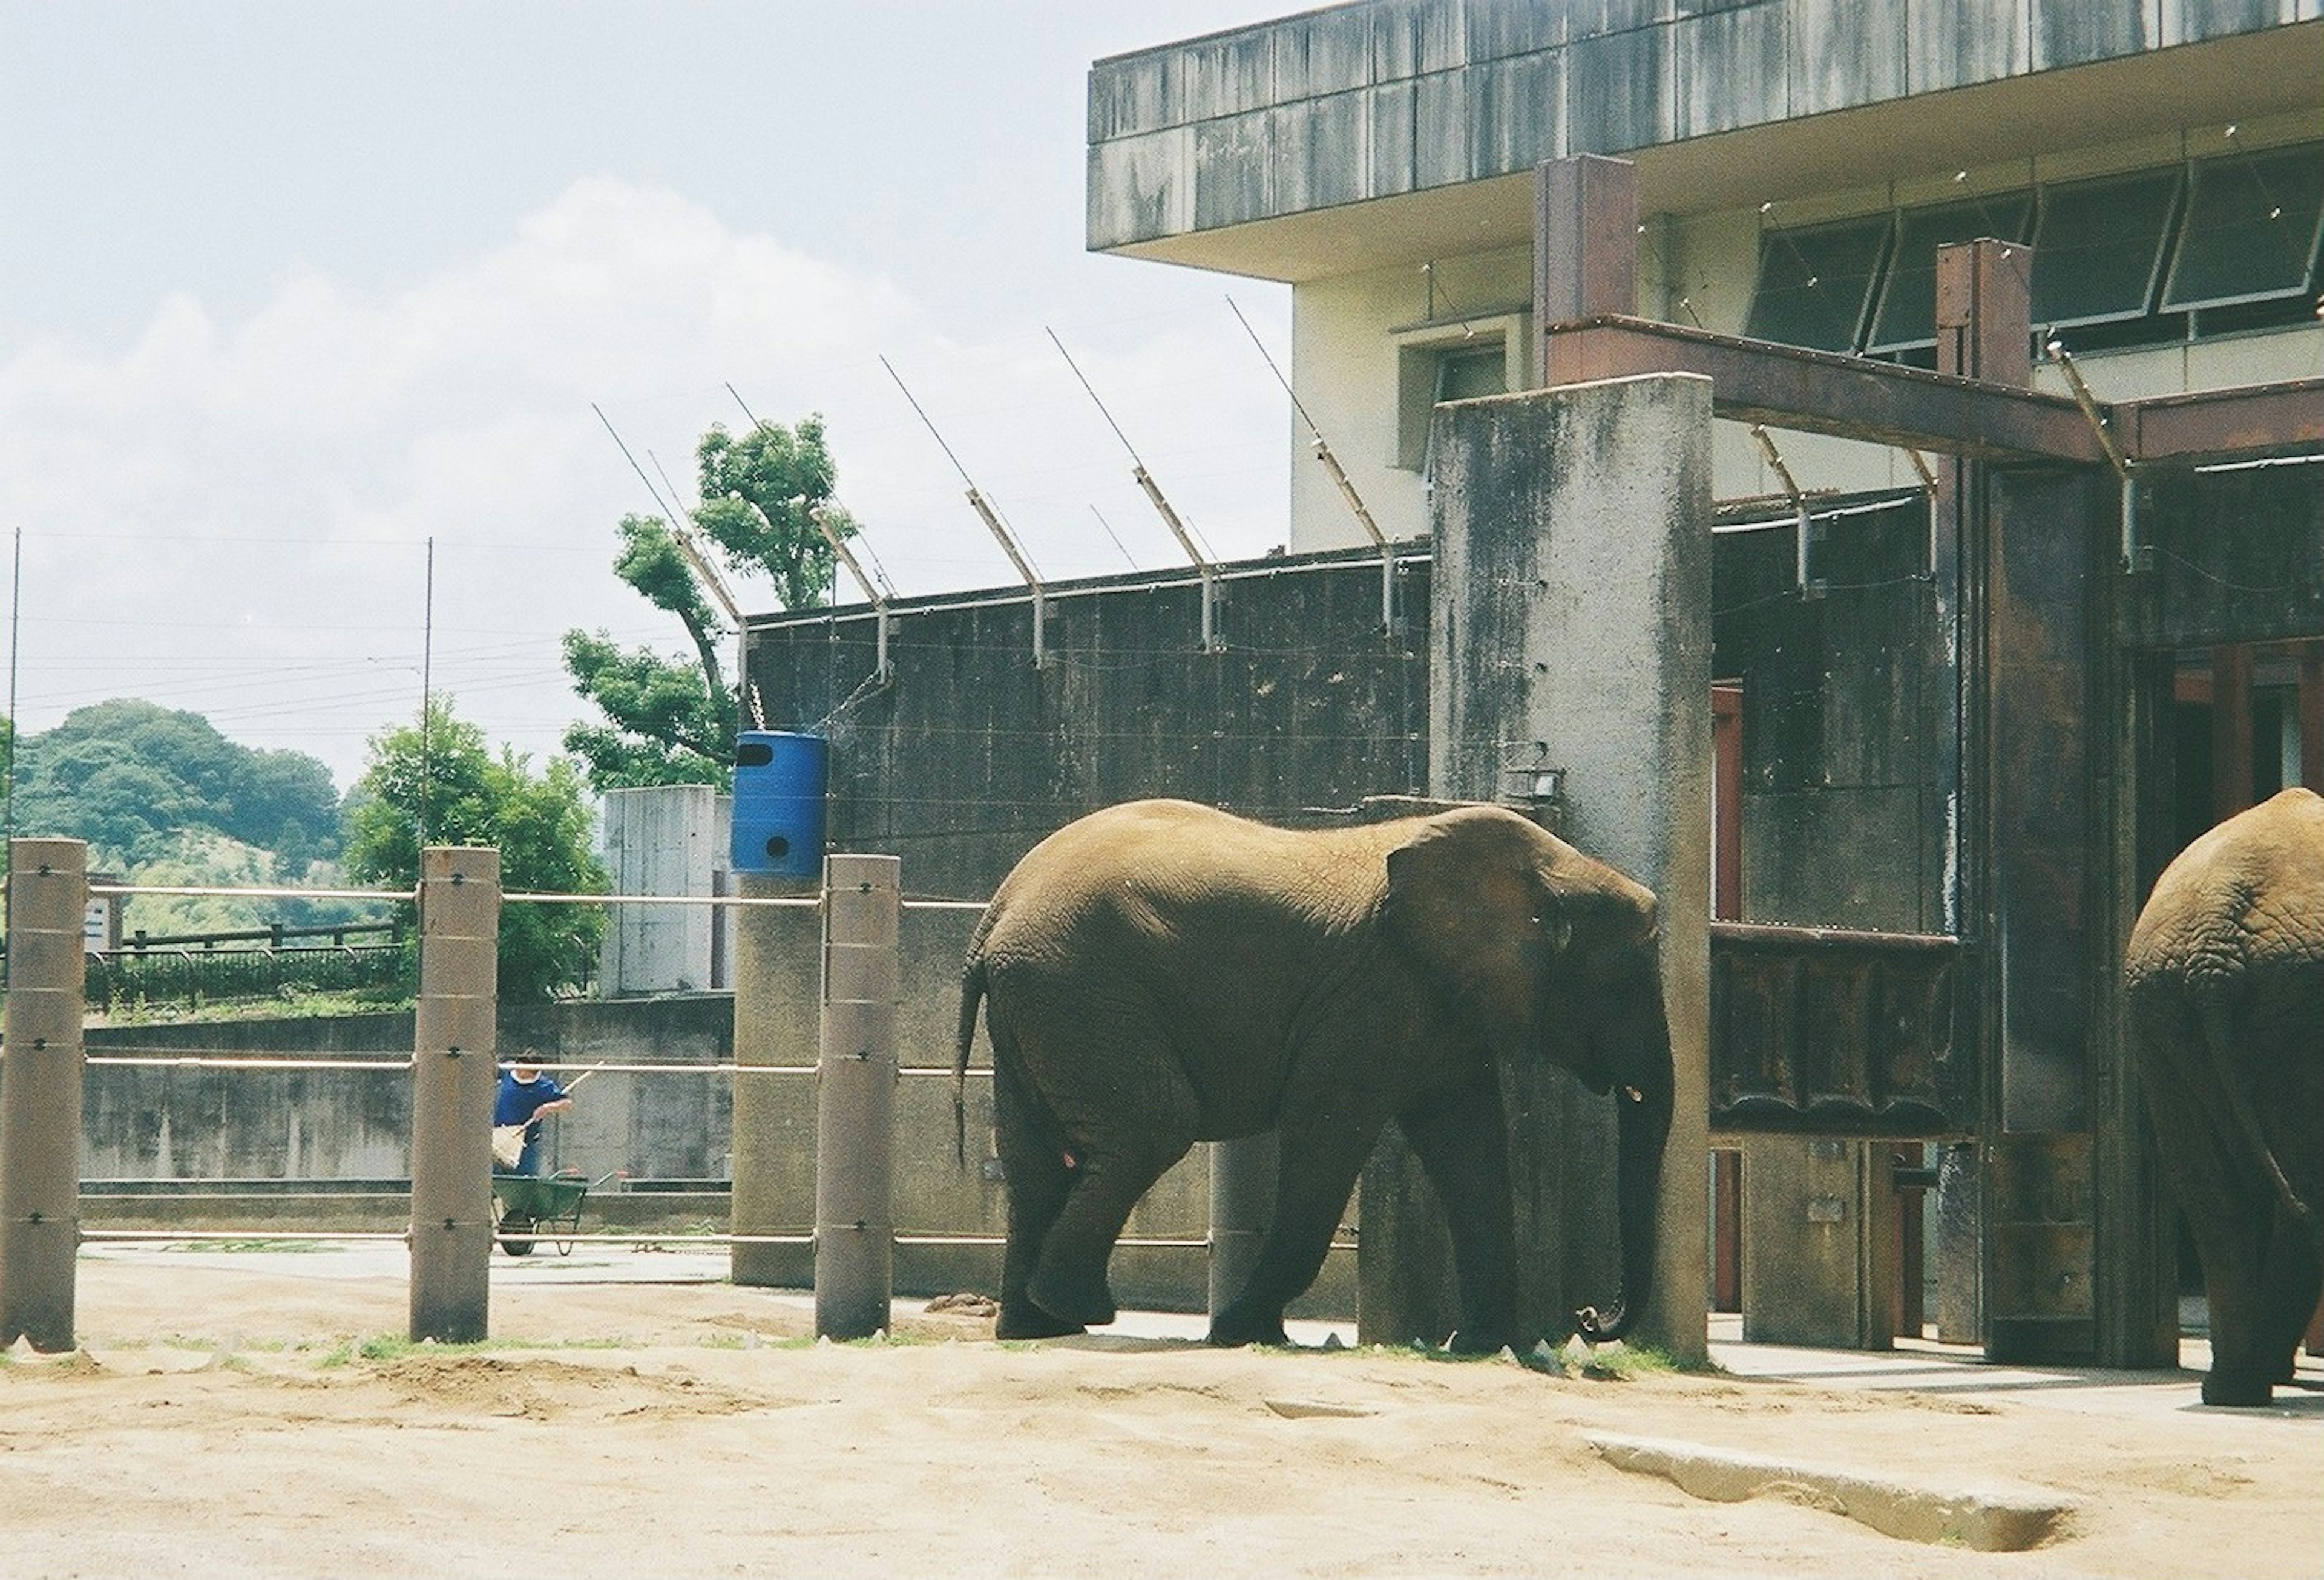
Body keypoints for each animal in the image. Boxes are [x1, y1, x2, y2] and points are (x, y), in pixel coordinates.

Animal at [953, 795, 1682, 1348]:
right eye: (1625, 983)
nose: (1588, 1318)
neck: (1554, 865)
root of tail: (992, 920)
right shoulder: (1374, 996)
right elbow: (1330, 1134)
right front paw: (1243, 1332)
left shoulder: (1440, 1005)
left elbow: (1469, 1142)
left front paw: (1480, 1345)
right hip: (1081, 990)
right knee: (1152, 1130)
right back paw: (1078, 1310)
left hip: (1042, 1003)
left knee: (1033, 1157)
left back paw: (1035, 1327)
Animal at [2129, 785, 2314, 1403]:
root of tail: (2215, 931)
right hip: (2291, 1008)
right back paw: (2248, 1384)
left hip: (2159, 1007)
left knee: (2211, 1191)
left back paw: (2233, 1387)